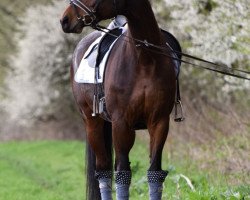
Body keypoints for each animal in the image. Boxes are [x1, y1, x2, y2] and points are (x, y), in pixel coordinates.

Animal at [60, 0, 177, 199]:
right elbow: (123, 173)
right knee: (104, 170)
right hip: (92, 122)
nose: (65, 20)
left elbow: (154, 172)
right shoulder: (122, 123)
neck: (145, 59)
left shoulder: (159, 122)